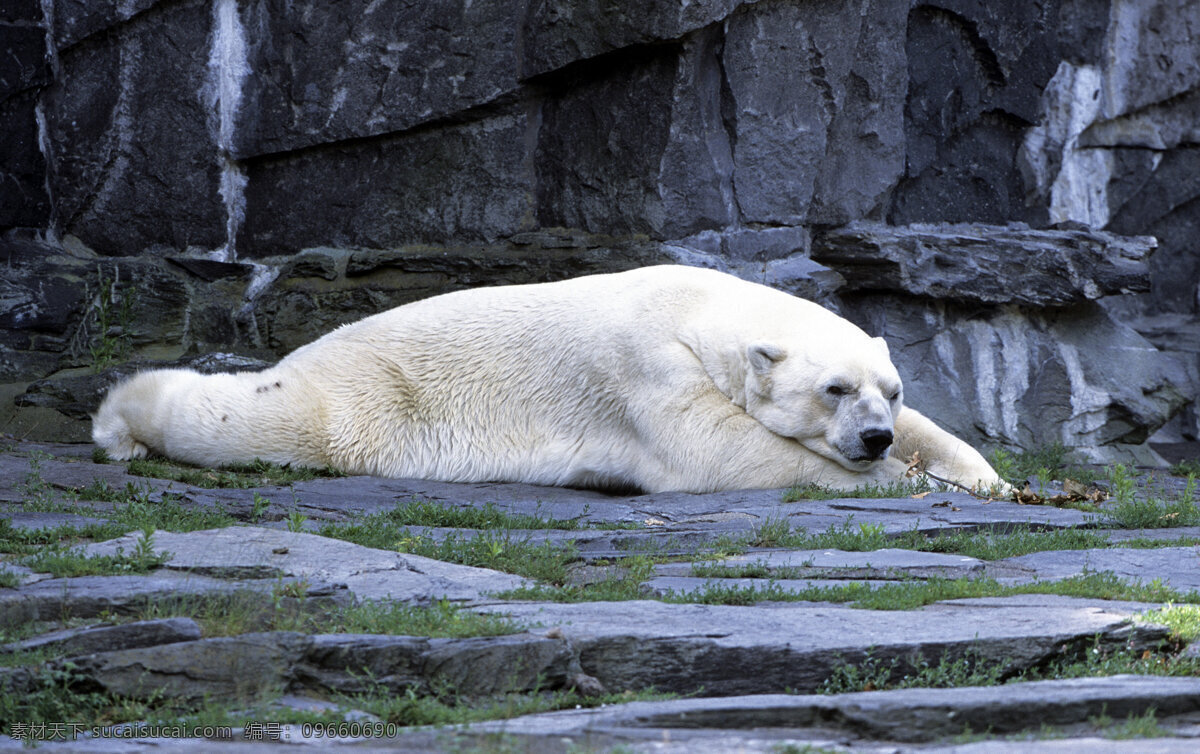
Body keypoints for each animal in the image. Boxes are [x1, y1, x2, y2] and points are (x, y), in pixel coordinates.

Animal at [91, 265, 1003, 494]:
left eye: (891, 390)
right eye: (833, 390)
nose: (874, 436)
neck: (698, 305)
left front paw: (982, 478)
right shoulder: (643, 368)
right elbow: (712, 452)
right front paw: (898, 479)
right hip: (362, 397)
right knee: (250, 416)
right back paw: (121, 422)